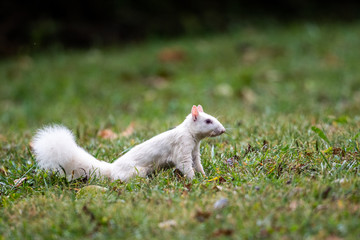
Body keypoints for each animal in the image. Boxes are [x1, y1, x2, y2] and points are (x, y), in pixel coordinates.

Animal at [33, 105, 225, 182]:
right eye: (208, 121)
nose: (223, 130)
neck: (191, 135)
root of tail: (111, 170)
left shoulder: (194, 151)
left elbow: (197, 164)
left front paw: (204, 176)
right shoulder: (182, 148)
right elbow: (185, 165)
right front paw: (194, 180)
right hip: (137, 171)